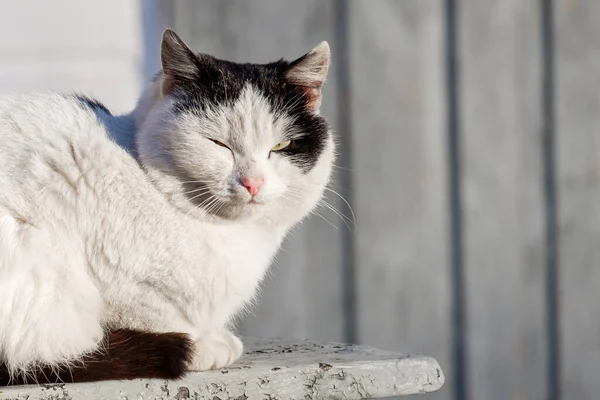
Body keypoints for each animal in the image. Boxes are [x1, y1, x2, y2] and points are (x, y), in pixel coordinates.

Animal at [0, 28, 332, 384]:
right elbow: (151, 316)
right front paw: (202, 345)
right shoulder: (119, 279)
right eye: (218, 144)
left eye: (282, 145)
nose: (252, 182)